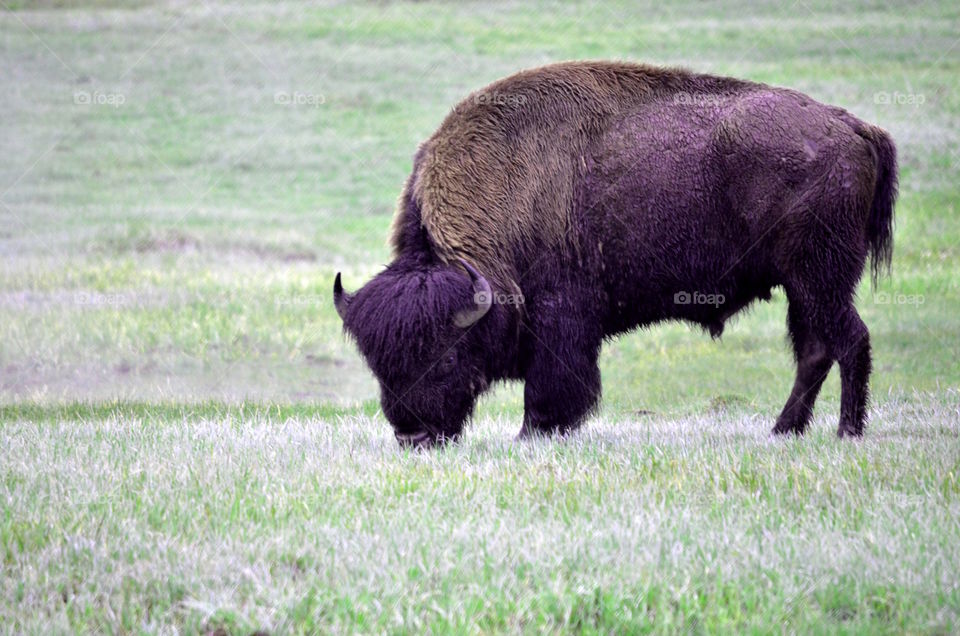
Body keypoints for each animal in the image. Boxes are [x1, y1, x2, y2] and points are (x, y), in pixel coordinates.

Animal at [333, 61, 897, 448]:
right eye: (377, 363)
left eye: (446, 354)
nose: (414, 437)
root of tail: (852, 127)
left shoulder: (562, 318)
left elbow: (552, 388)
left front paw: (532, 434)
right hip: (803, 286)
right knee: (815, 350)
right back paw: (784, 430)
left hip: (819, 278)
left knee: (849, 341)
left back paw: (846, 432)